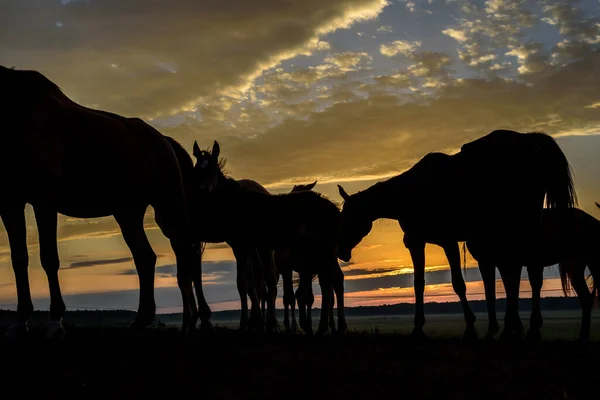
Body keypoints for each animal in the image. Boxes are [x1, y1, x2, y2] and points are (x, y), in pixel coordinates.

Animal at [0, 65, 207, 338]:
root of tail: (166, 141)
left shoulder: (44, 202)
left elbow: (49, 259)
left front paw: (55, 321)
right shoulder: (10, 203)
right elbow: (19, 259)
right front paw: (21, 320)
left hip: (168, 205)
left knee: (185, 258)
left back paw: (188, 323)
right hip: (128, 213)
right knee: (146, 258)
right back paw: (142, 320)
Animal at [192, 142, 346, 336]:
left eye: (212, 167)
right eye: (197, 168)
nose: (202, 190)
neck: (237, 202)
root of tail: (334, 210)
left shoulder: (241, 246)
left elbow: (245, 283)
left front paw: (248, 324)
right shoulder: (250, 247)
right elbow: (251, 283)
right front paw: (256, 324)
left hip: (321, 251)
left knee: (334, 280)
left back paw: (333, 327)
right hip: (320, 253)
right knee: (330, 282)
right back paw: (324, 328)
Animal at [338, 130, 576, 342]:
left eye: (348, 217)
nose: (341, 252)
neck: (409, 193)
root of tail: (530, 141)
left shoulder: (435, 241)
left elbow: (449, 284)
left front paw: (462, 328)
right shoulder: (428, 242)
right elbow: (423, 283)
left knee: (519, 274)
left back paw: (516, 329)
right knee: (523, 275)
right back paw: (523, 329)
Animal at [468, 208, 600, 342]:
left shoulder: (508, 264)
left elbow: (511, 293)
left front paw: (510, 331)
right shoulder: (487, 262)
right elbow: (492, 295)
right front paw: (498, 332)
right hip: (576, 266)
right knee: (586, 298)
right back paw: (582, 336)